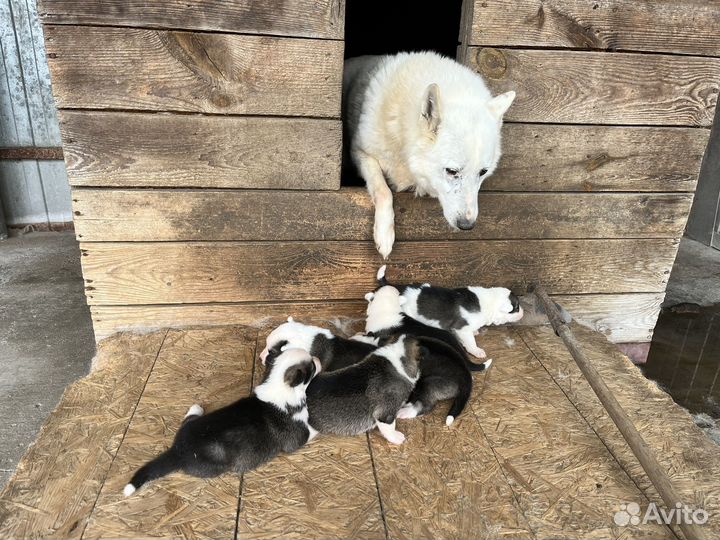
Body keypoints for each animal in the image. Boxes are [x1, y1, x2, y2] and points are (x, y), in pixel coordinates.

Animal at [122, 348, 320, 496]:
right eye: (311, 367)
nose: (317, 358)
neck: (277, 385)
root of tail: (176, 450)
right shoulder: (297, 437)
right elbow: (311, 429)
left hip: (189, 426)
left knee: (188, 419)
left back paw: (196, 408)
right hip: (213, 467)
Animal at [346, 51, 516, 258]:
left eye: (483, 172)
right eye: (451, 171)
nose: (467, 225)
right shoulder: (360, 152)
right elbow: (383, 190)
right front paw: (384, 234)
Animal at [372, 266, 524, 358]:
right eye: (516, 307)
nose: (522, 313)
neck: (487, 303)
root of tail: (393, 286)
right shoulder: (462, 328)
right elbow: (471, 342)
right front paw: (477, 351)